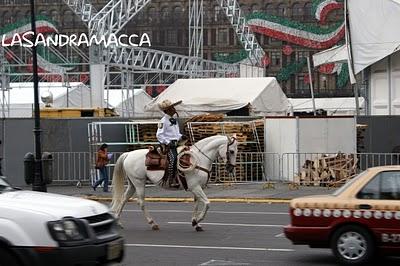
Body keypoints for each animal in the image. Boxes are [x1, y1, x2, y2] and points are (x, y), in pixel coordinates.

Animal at [110, 135, 238, 231]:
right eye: (231, 151)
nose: (231, 168)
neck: (198, 159)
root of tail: (128, 154)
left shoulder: (198, 188)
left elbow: (196, 205)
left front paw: (195, 223)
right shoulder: (195, 187)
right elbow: (207, 203)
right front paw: (198, 220)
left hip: (132, 184)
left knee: (124, 199)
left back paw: (118, 222)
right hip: (139, 183)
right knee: (140, 202)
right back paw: (153, 223)